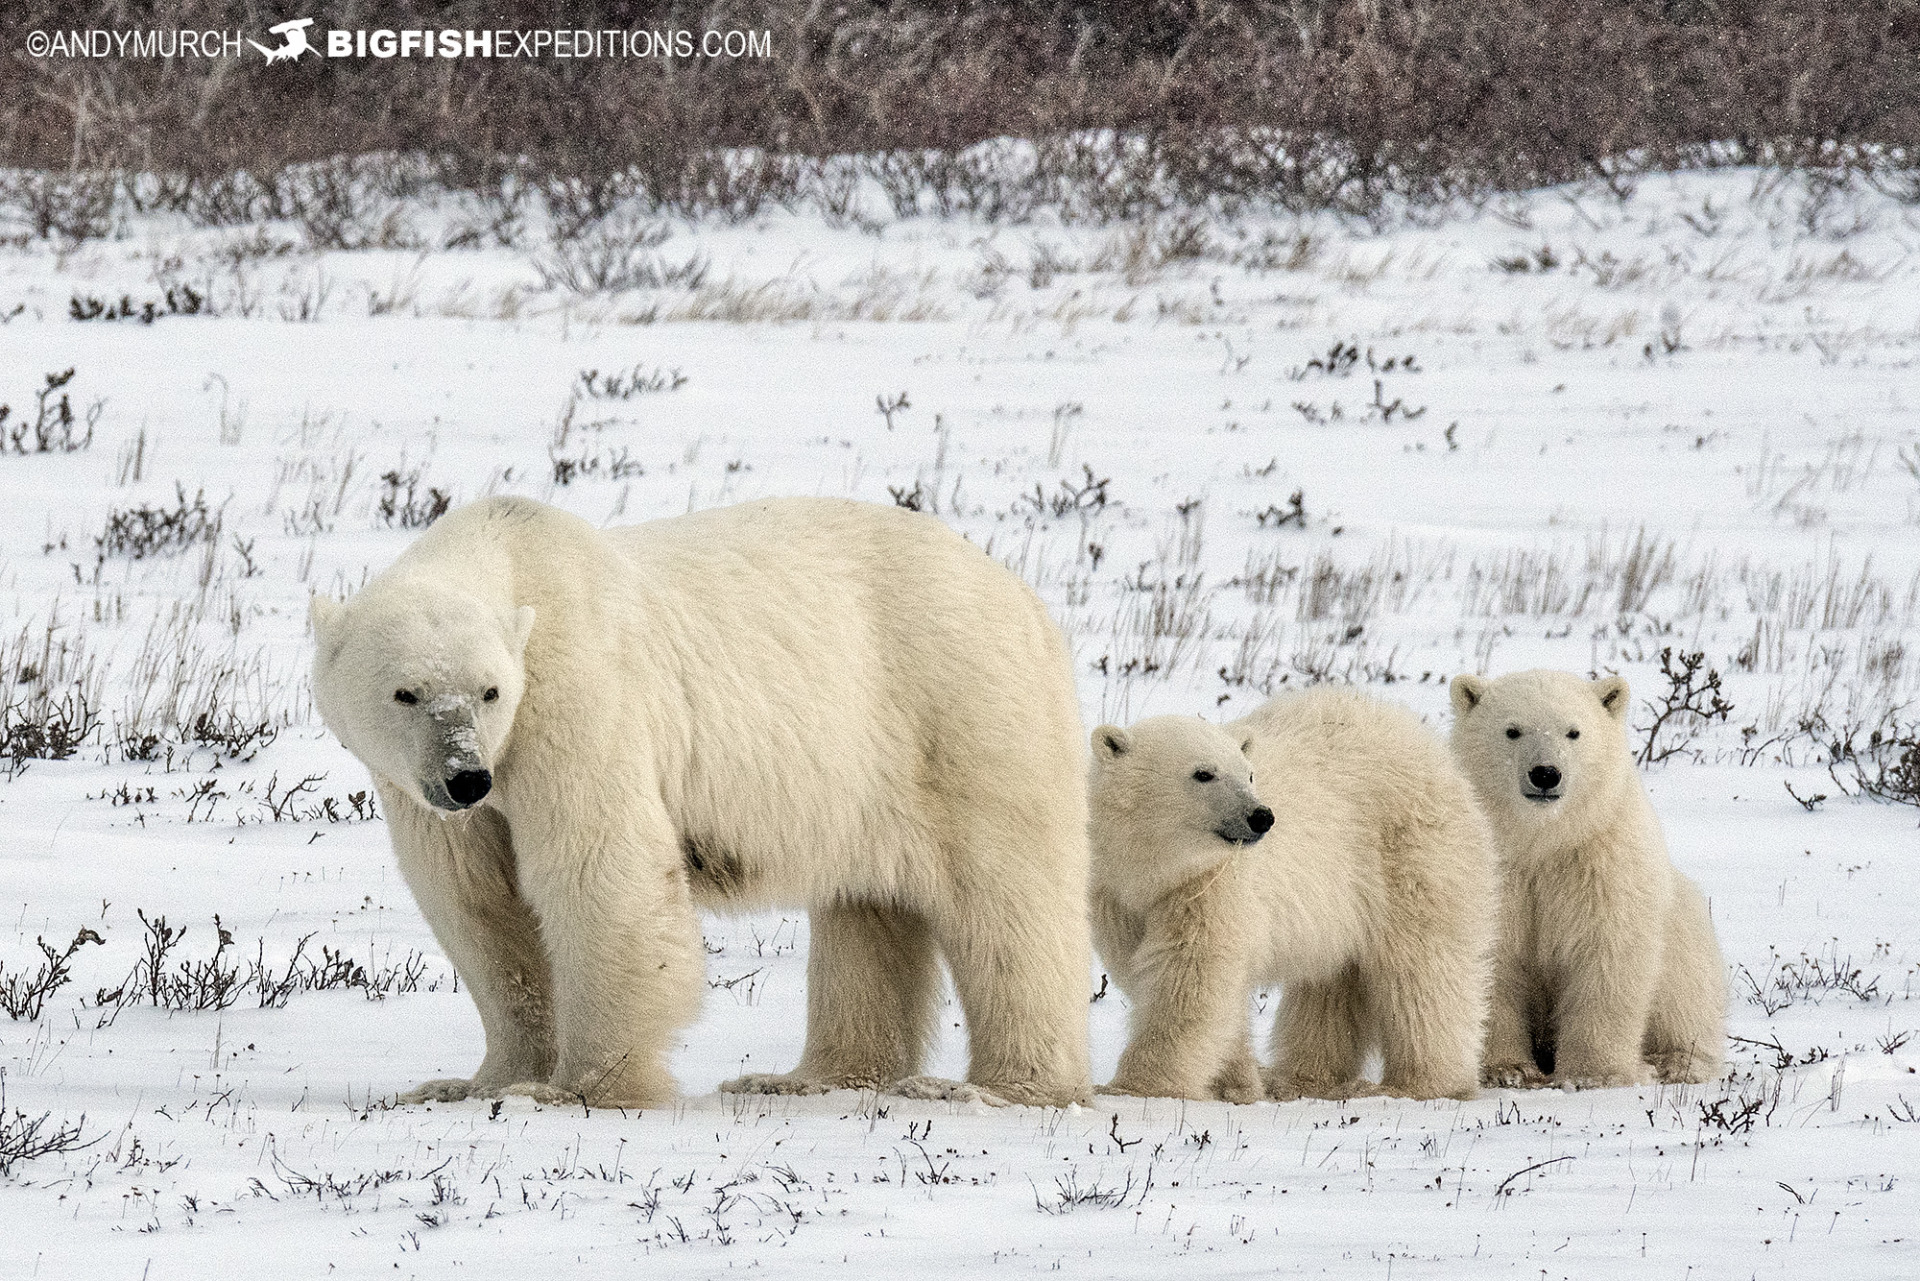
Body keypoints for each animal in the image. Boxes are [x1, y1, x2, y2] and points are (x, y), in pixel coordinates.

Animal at [310, 495, 1093, 1109]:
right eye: (405, 692)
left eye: (489, 691)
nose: (466, 777)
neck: (512, 554)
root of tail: (1026, 599)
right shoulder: (423, 792)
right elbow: (478, 904)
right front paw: (473, 1082)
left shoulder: (578, 703)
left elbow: (599, 871)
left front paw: (582, 1087)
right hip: (869, 772)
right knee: (866, 906)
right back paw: (809, 1076)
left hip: (961, 713)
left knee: (1004, 898)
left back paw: (996, 1086)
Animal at [1088, 687, 1497, 1103]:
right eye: (1203, 773)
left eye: (1249, 773)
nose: (1261, 816)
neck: (1154, 869)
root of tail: (1436, 753)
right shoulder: (1118, 897)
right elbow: (1156, 969)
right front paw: (1236, 1083)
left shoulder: (1211, 884)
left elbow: (1190, 975)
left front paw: (1136, 1086)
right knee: (1332, 980)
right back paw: (1306, 1079)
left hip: (1408, 855)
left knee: (1421, 968)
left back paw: (1418, 1084)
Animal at [1449, 669, 1726, 1090]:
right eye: (1512, 730)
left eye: (1573, 732)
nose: (1545, 774)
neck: (1542, 841)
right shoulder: (1499, 876)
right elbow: (1495, 961)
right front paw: (1506, 1069)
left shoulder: (1601, 866)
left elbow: (1606, 955)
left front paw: (1592, 1074)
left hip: (1685, 927)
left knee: (1687, 993)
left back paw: (1675, 1061)